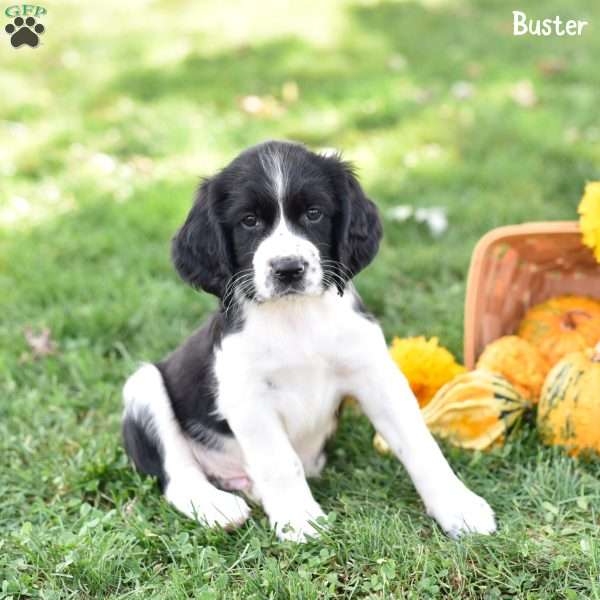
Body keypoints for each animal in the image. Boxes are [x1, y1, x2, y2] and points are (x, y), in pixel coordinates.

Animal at [119, 142, 494, 544]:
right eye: (248, 221)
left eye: (314, 214)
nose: (288, 269)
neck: (297, 317)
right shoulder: (247, 396)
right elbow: (280, 461)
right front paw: (299, 520)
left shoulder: (376, 377)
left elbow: (421, 444)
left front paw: (459, 507)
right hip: (144, 386)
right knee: (178, 476)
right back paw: (218, 508)